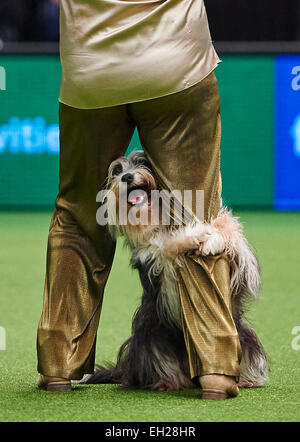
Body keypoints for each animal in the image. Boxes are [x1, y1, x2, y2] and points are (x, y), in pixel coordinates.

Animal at [83, 151, 268, 390]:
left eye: (143, 163)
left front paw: (211, 237)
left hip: (243, 334)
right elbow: (167, 246)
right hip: (149, 337)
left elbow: (229, 228)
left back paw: (246, 379)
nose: (127, 177)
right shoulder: (159, 270)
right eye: (116, 171)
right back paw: (167, 382)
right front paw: (196, 234)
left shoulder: (242, 265)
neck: (154, 219)